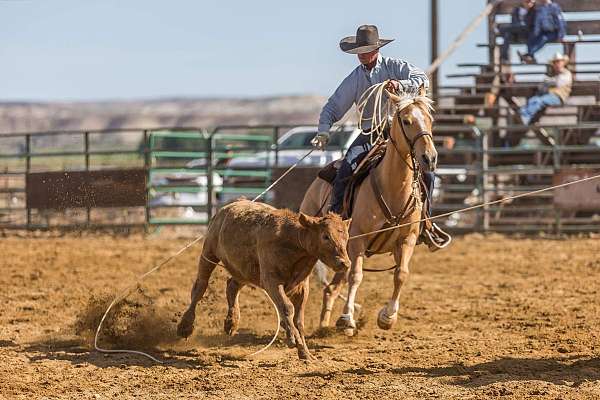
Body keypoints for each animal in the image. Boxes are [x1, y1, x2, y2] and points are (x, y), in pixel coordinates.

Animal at [176, 200, 350, 360]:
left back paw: (231, 322)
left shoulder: (302, 287)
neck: (292, 240)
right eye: (325, 236)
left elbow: (299, 320)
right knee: (200, 287)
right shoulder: (271, 281)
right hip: (209, 253)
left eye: (346, 237)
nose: (345, 263)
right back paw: (185, 326)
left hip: (244, 270)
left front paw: (305, 353)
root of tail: (229, 206)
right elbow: (287, 308)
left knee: (232, 286)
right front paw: (292, 338)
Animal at [300, 86, 436, 334]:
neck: (392, 187)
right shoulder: (358, 241)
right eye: (406, 120)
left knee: (330, 289)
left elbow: (401, 274)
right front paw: (347, 318)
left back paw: (324, 326)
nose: (429, 158)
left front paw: (387, 317)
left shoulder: (408, 239)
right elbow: (356, 277)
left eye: (430, 119)